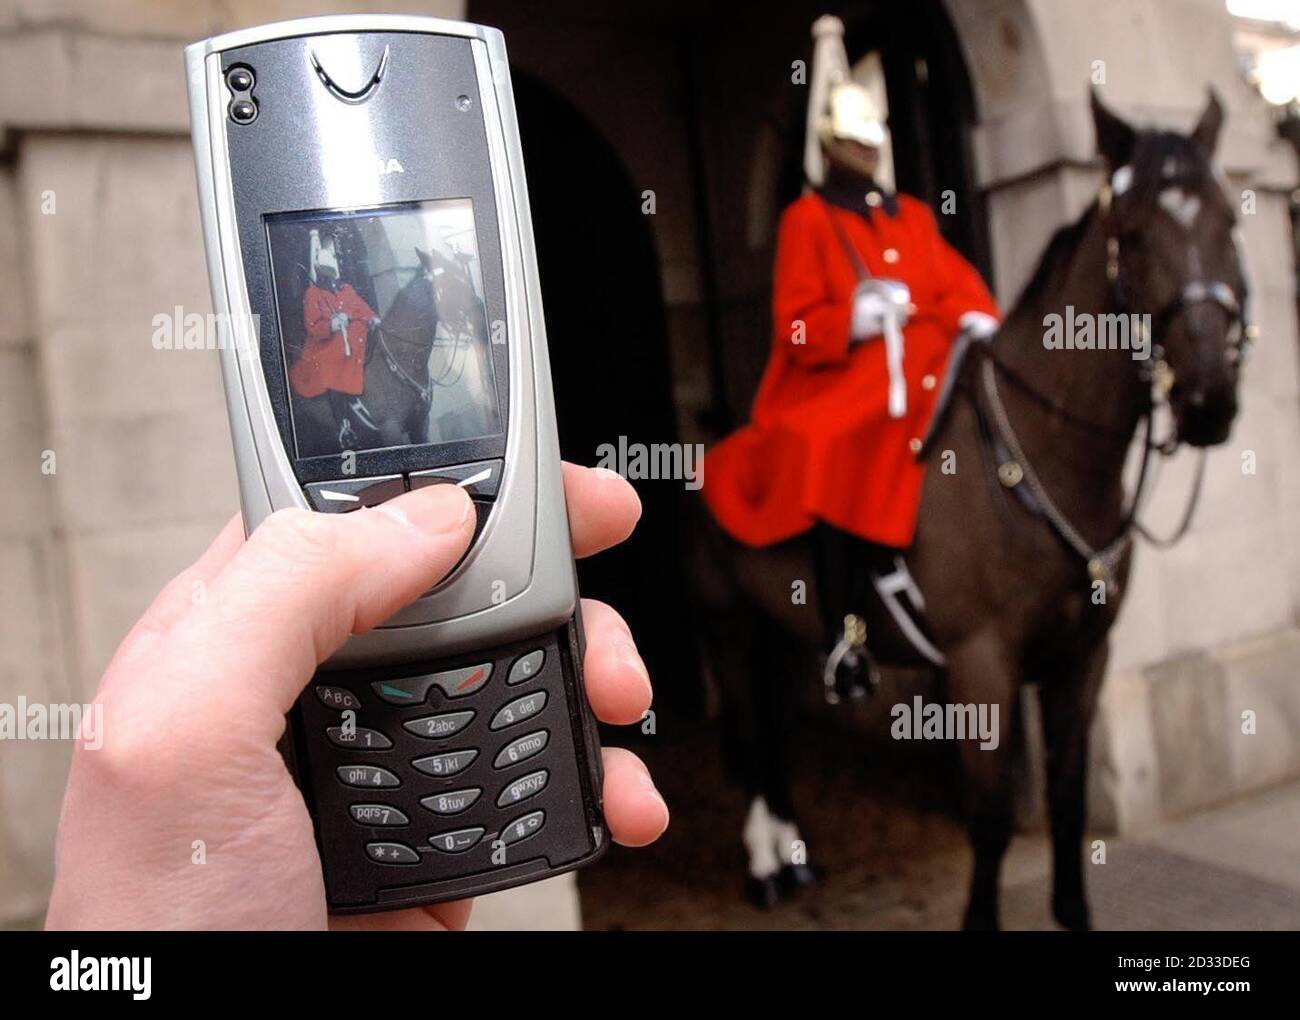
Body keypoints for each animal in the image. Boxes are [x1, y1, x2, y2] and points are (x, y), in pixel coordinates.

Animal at [702, 91, 1248, 925]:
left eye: (1227, 220)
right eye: (1132, 234)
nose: (1210, 399)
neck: (1043, 456)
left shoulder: (1084, 659)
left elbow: (1067, 802)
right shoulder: (981, 664)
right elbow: (989, 820)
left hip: (784, 628)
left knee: (777, 732)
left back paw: (796, 858)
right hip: (731, 625)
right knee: (757, 734)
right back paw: (766, 868)